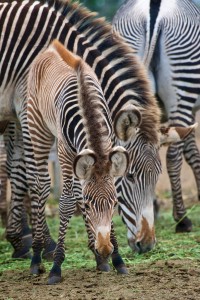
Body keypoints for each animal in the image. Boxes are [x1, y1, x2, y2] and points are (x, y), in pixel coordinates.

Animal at [25, 41, 130, 284]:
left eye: (114, 204)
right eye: (90, 205)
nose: (105, 249)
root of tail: (52, 45)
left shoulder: (107, 146)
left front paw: (116, 260)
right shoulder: (65, 153)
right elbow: (66, 203)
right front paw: (56, 267)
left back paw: (97, 257)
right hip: (38, 128)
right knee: (40, 186)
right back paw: (36, 257)